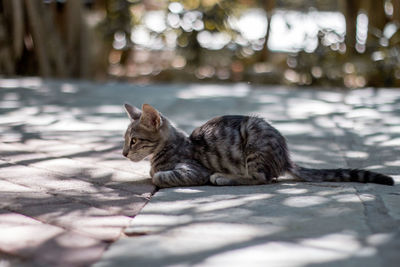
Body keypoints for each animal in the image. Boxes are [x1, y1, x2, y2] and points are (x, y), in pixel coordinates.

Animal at [123, 103, 396, 188]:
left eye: (134, 140)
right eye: (124, 140)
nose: (124, 153)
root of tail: (285, 156)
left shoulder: (194, 170)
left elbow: (159, 176)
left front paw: (157, 174)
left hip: (254, 141)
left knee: (261, 178)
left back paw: (224, 177)